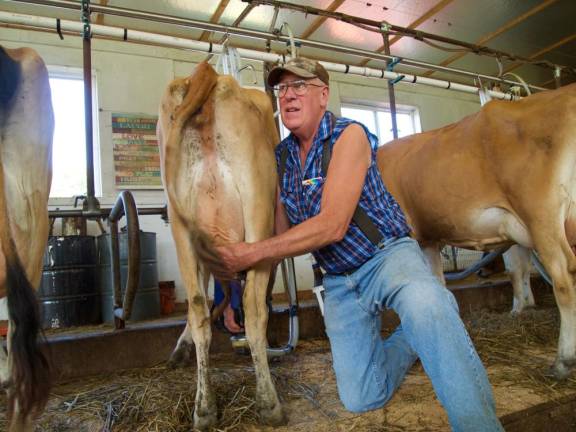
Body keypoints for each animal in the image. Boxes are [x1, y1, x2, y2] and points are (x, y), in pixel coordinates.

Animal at [158, 60, 284, 428]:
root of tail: (209, 77)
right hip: (258, 211)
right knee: (254, 307)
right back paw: (268, 403)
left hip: (181, 225)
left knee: (199, 307)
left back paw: (204, 409)